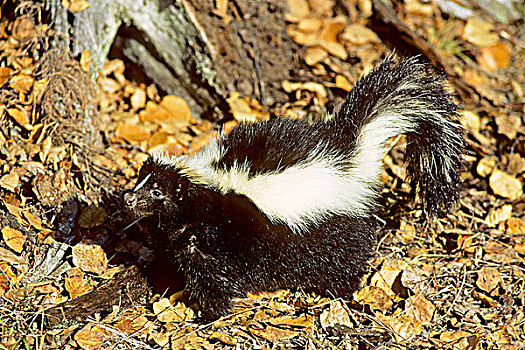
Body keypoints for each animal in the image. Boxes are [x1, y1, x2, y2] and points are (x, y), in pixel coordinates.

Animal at [124, 57, 462, 320]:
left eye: (157, 193)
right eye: (141, 181)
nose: (127, 198)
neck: (208, 186)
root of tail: (351, 154)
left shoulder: (220, 235)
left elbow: (213, 274)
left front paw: (209, 313)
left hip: (338, 232)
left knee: (347, 262)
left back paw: (340, 293)